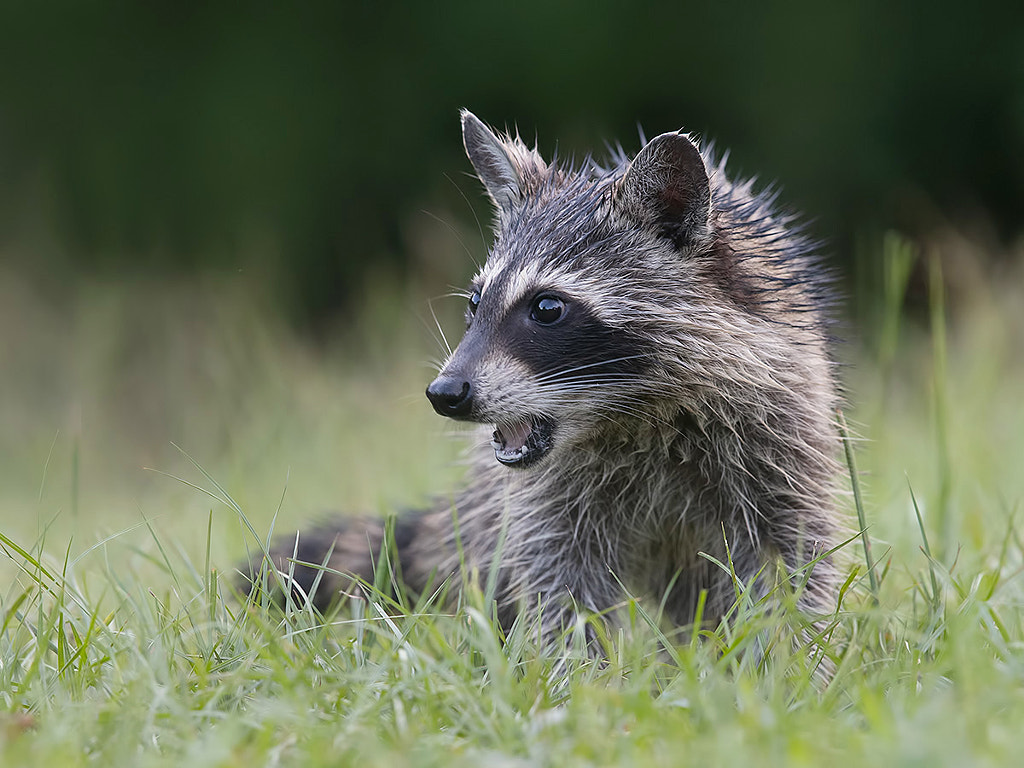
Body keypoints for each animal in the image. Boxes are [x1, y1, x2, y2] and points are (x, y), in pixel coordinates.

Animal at [247, 111, 841, 651]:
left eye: (547, 308)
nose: (445, 394)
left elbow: (794, 562)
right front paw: (580, 681)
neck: (640, 416)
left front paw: (795, 664)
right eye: (475, 302)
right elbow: (560, 584)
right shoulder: (549, 496)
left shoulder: (780, 429)